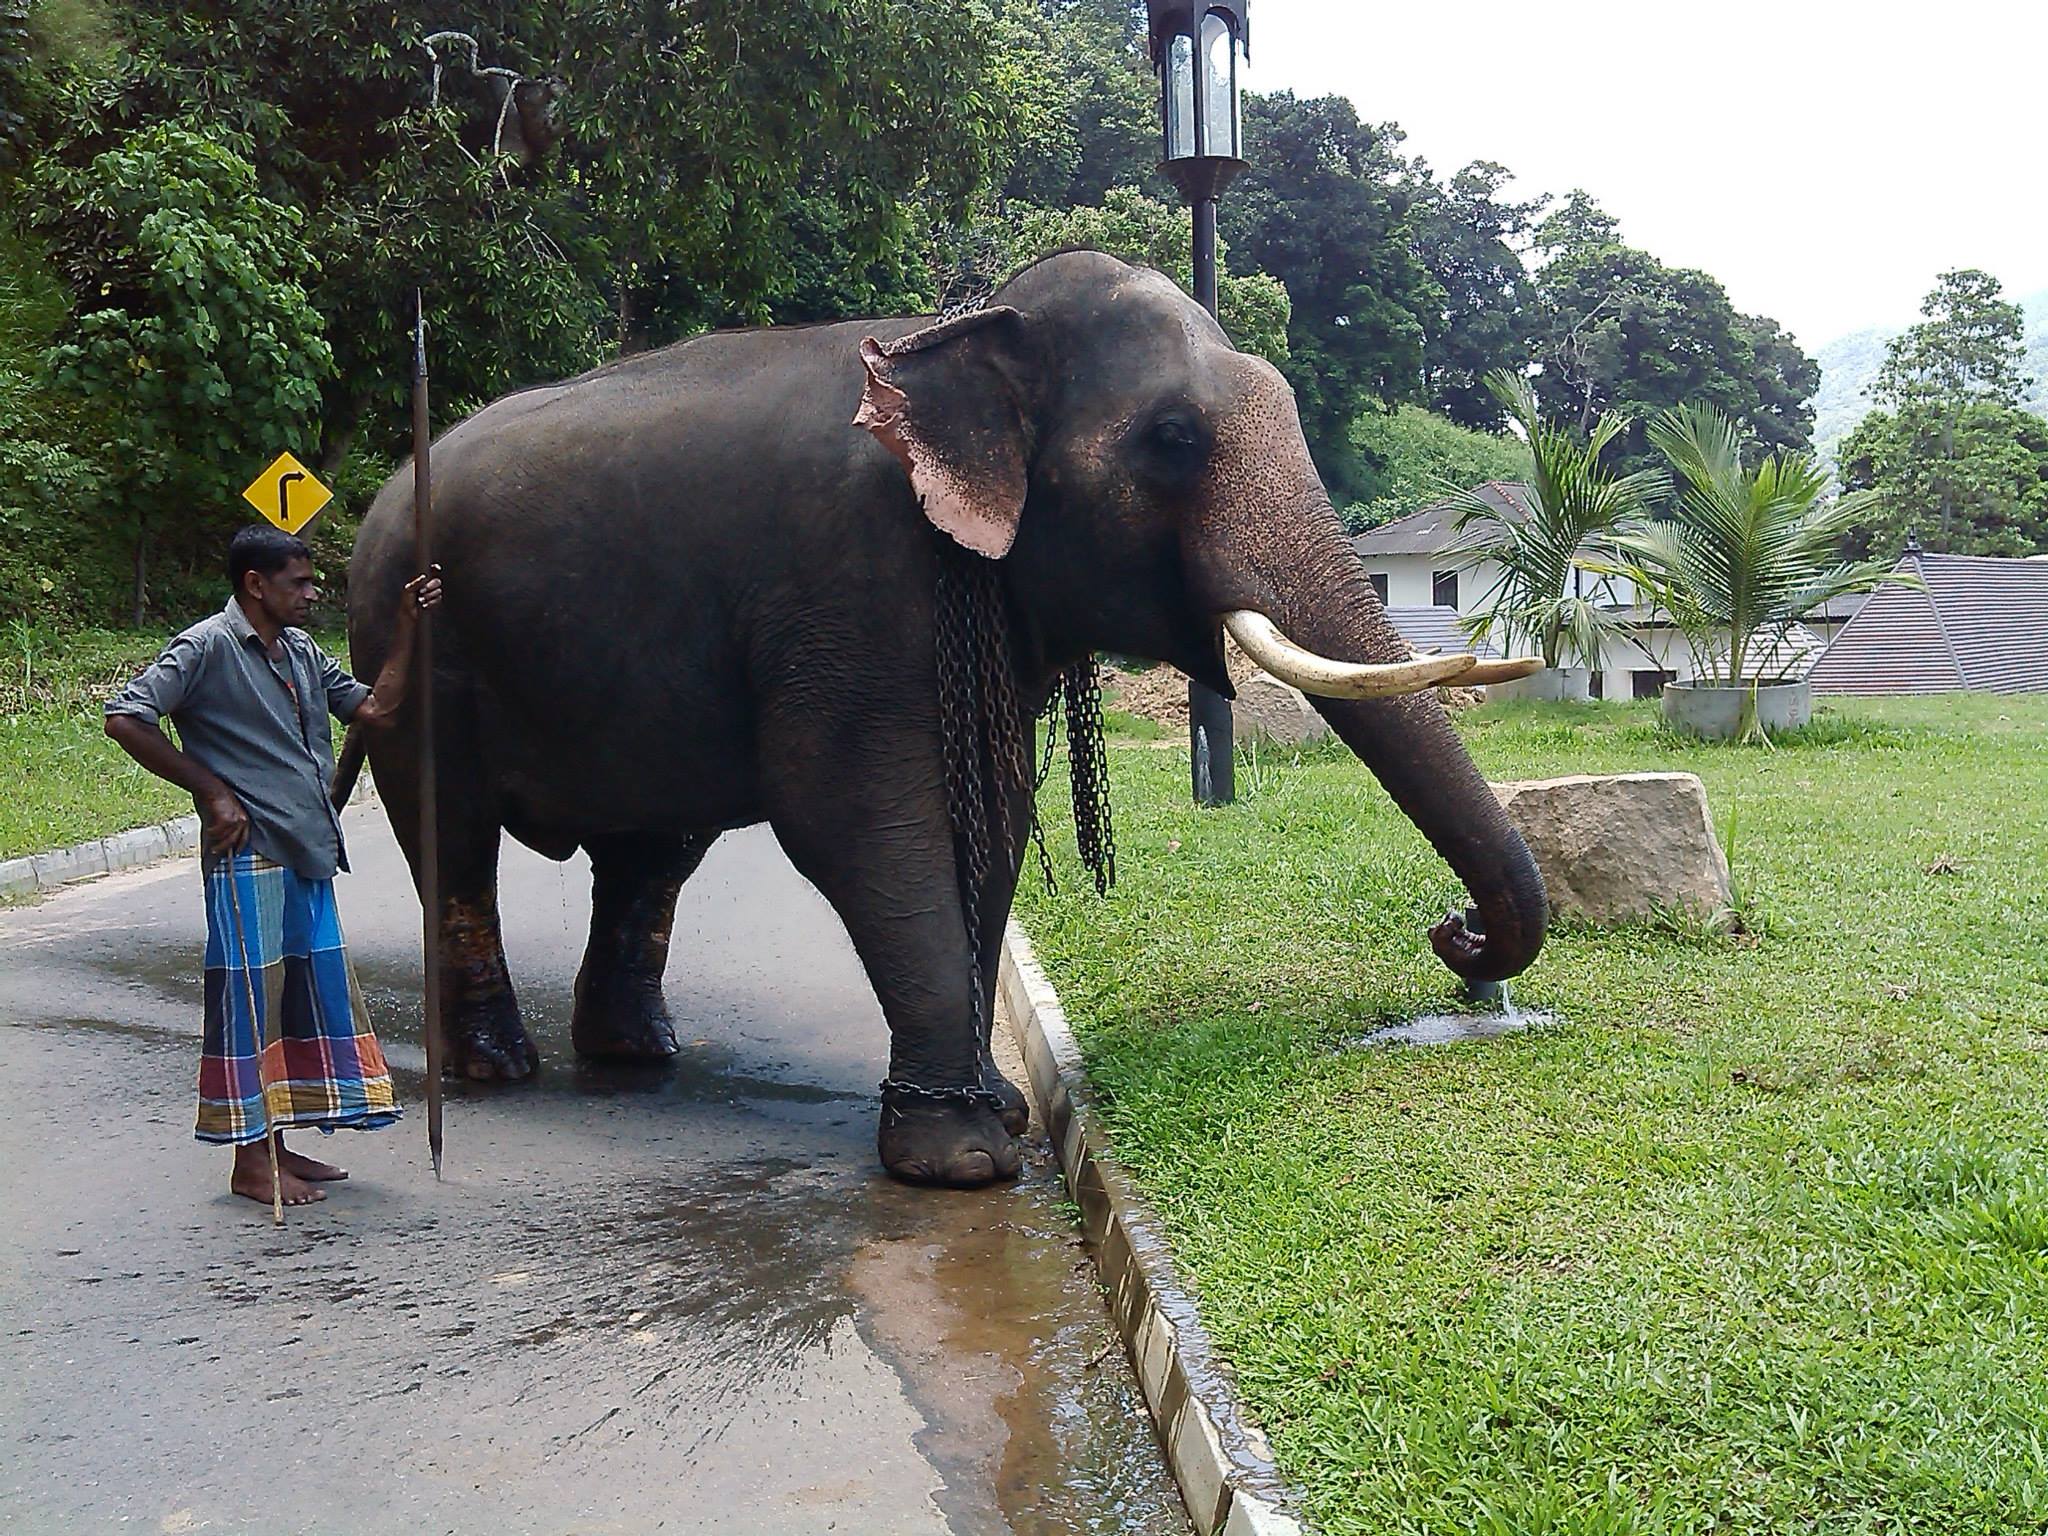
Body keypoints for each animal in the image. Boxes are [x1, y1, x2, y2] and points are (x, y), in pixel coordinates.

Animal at [344, 249, 1540, 1187]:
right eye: (1171, 439)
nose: (1455, 933)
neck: (957, 329)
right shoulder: (849, 584)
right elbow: (862, 820)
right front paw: (961, 1159)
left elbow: (991, 816)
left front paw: (994, 1112)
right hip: (406, 648)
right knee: (455, 838)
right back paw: (496, 1069)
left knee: (652, 855)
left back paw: (638, 1057)